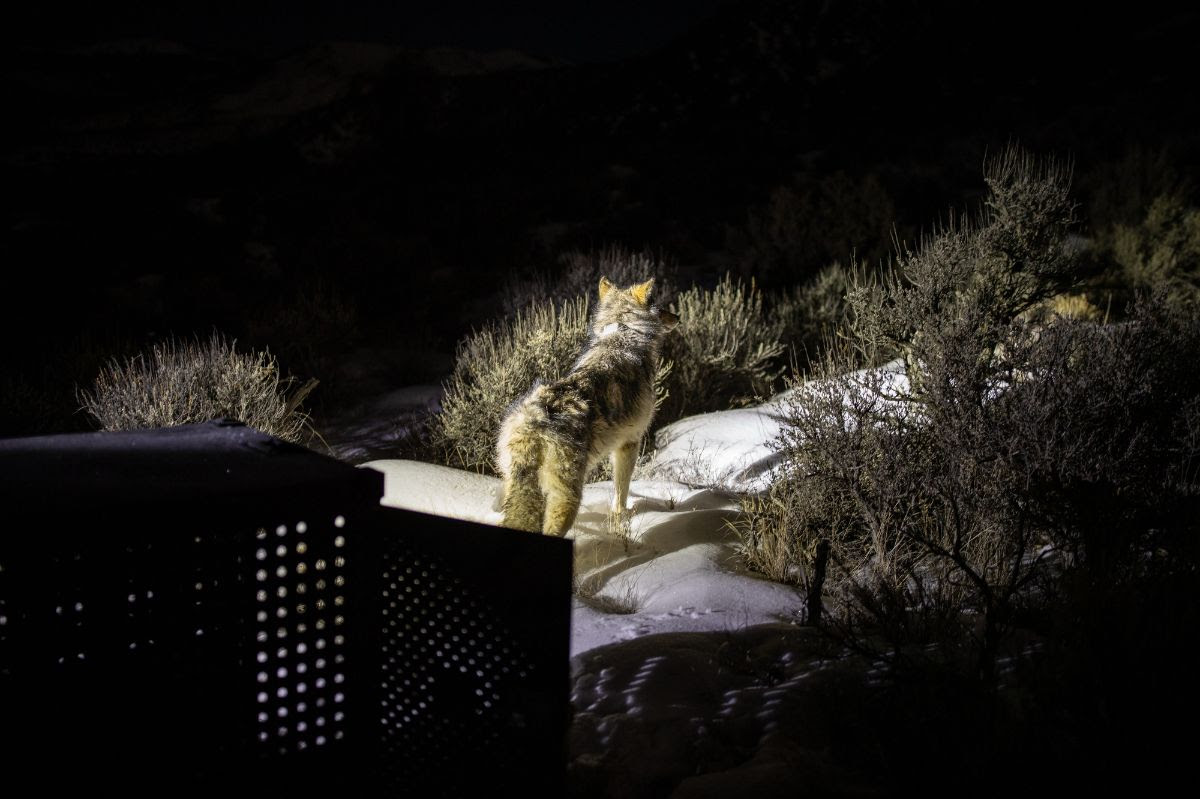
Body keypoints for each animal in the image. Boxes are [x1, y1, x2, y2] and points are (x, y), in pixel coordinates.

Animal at [496, 277, 678, 535]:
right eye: (658, 304)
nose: (677, 317)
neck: (623, 332)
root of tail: (533, 420)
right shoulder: (630, 443)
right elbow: (621, 492)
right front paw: (622, 518)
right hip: (567, 500)